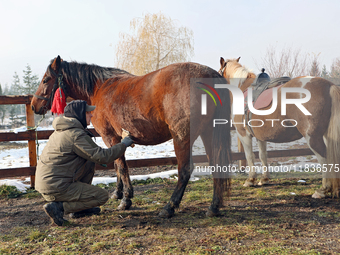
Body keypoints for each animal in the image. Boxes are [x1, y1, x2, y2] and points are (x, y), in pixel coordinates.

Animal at [31, 55, 232, 217]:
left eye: (46, 79)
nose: (34, 105)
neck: (98, 88)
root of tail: (210, 76)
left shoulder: (110, 136)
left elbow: (121, 166)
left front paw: (125, 200)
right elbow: (117, 163)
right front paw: (118, 193)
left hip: (182, 137)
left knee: (184, 170)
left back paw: (169, 207)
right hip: (208, 133)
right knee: (215, 165)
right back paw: (213, 207)